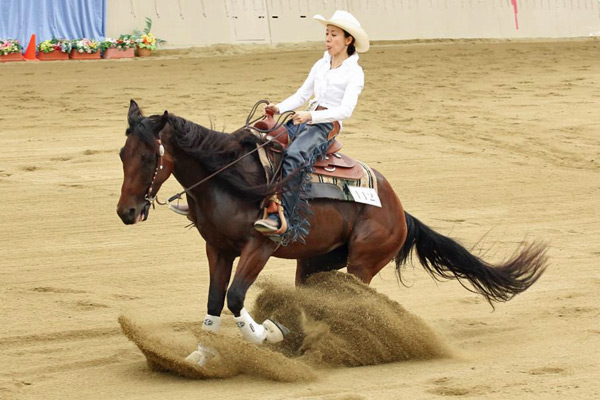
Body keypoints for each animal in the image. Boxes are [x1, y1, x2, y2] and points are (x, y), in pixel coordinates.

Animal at [117, 100, 547, 352]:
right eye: (123, 154)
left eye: (147, 157)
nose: (126, 212)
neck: (227, 176)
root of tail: (400, 211)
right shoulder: (218, 249)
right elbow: (213, 302)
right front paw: (201, 357)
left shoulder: (260, 246)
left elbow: (235, 298)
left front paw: (264, 334)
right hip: (313, 263)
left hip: (362, 262)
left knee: (352, 302)